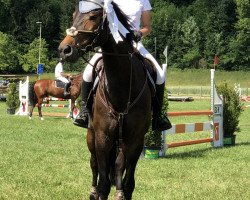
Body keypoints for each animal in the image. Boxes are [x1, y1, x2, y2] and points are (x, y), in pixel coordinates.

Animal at [58, 0, 152, 199]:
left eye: (93, 17)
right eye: (73, 15)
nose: (64, 50)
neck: (121, 86)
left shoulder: (134, 138)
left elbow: (124, 173)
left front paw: (121, 192)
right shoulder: (102, 136)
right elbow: (102, 179)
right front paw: (100, 191)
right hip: (91, 135)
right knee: (94, 164)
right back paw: (93, 190)